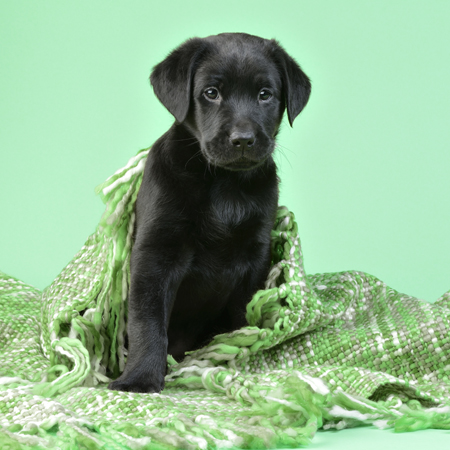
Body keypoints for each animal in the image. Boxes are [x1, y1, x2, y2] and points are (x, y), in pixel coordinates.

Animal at [107, 31, 312, 392]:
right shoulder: (155, 254)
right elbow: (148, 321)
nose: (243, 140)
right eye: (211, 93)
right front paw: (140, 378)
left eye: (265, 95)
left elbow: (243, 319)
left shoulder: (254, 256)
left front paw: (242, 357)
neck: (223, 184)